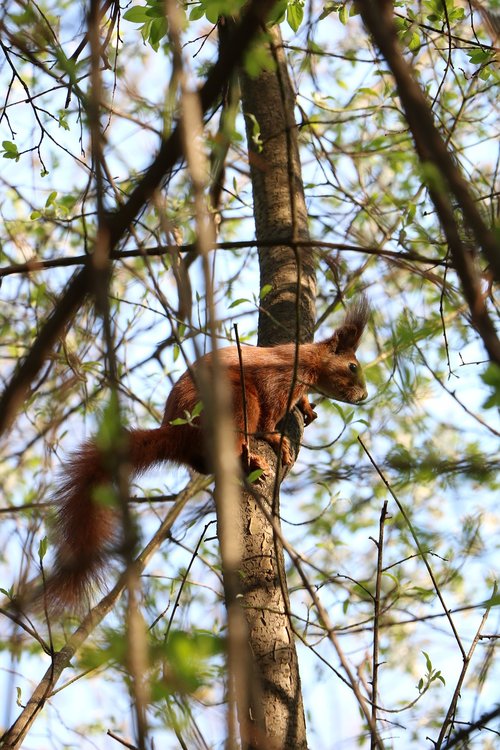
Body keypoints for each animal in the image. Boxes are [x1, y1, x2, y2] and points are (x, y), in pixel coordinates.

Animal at [47, 300, 368, 612]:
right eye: (352, 366)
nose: (364, 396)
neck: (307, 360)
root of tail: (176, 433)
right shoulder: (279, 379)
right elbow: (270, 411)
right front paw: (274, 437)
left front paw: (305, 406)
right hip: (234, 398)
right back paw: (249, 457)